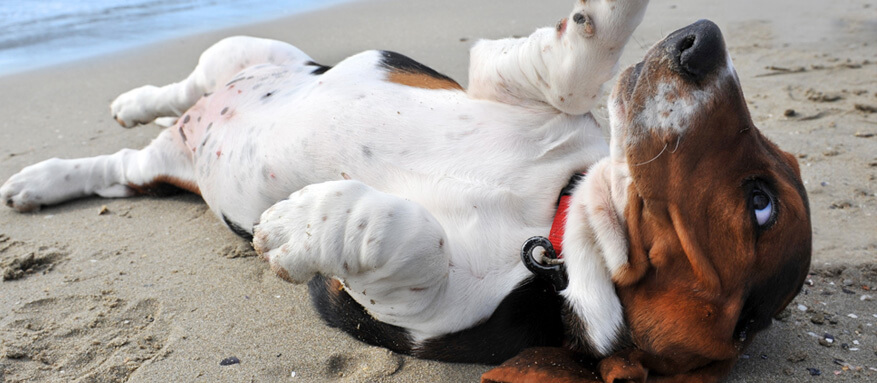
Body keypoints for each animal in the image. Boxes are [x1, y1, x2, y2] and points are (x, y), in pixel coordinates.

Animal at [0, 1, 812, 382]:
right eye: (770, 178)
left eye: (760, 201)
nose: (702, 40)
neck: (551, 218)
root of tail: (186, 140)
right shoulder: (515, 86)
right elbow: (575, 64)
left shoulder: (408, 310)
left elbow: (410, 238)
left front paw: (300, 224)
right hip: (246, 52)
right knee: (181, 89)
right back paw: (125, 107)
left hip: (162, 160)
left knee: (120, 167)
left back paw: (45, 180)